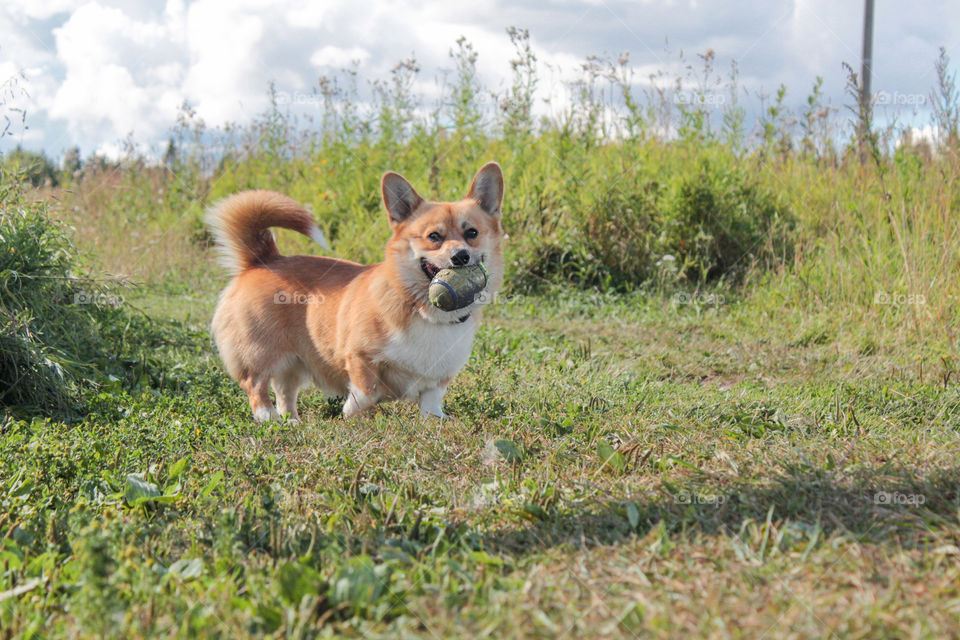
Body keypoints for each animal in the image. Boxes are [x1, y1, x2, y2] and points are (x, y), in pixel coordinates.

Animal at [207, 161, 506, 420]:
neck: (423, 311)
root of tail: (262, 260)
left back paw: (291, 422)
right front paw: (351, 413)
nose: (461, 257)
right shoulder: (361, 357)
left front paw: (436, 421)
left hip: (293, 363)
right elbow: (367, 392)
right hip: (258, 353)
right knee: (256, 386)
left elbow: (431, 402)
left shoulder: (438, 377)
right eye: (434, 236)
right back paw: (267, 419)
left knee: (284, 392)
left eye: (472, 233)